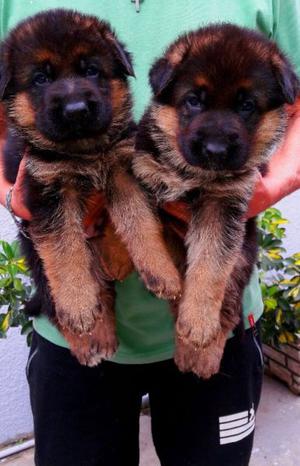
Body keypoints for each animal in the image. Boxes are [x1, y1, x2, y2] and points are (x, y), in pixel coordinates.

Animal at [1, 8, 182, 364]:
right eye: (40, 79)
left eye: (91, 70)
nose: (76, 110)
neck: (83, 151)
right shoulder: (47, 190)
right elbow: (65, 252)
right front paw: (78, 306)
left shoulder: (123, 170)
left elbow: (139, 221)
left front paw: (161, 271)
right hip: (35, 256)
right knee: (60, 301)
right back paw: (88, 342)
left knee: (104, 289)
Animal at [134, 23, 300, 376]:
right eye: (194, 101)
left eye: (246, 105)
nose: (215, 150)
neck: (194, 175)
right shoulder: (143, 173)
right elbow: (138, 226)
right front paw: (156, 272)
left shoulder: (224, 205)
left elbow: (209, 265)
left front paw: (198, 323)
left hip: (242, 258)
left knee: (226, 308)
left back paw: (201, 354)